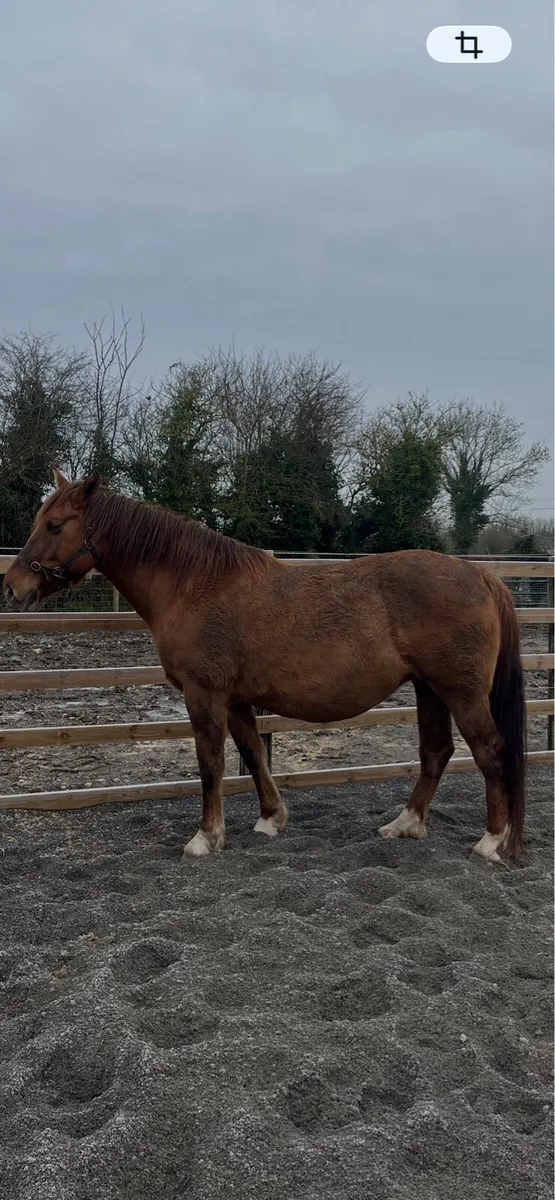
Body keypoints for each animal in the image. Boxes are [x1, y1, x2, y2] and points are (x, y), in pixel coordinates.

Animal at [3, 470, 526, 862]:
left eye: (55, 525)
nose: (13, 587)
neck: (195, 584)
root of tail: (480, 575)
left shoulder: (204, 695)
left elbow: (210, 763)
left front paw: (205, 838)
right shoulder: (236, 700)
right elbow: (253, 754)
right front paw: (271, 820)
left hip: (460, 691)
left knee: (489, 751)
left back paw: (491, 841)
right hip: (428, 688)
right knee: (436, 752)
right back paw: (406, 824)